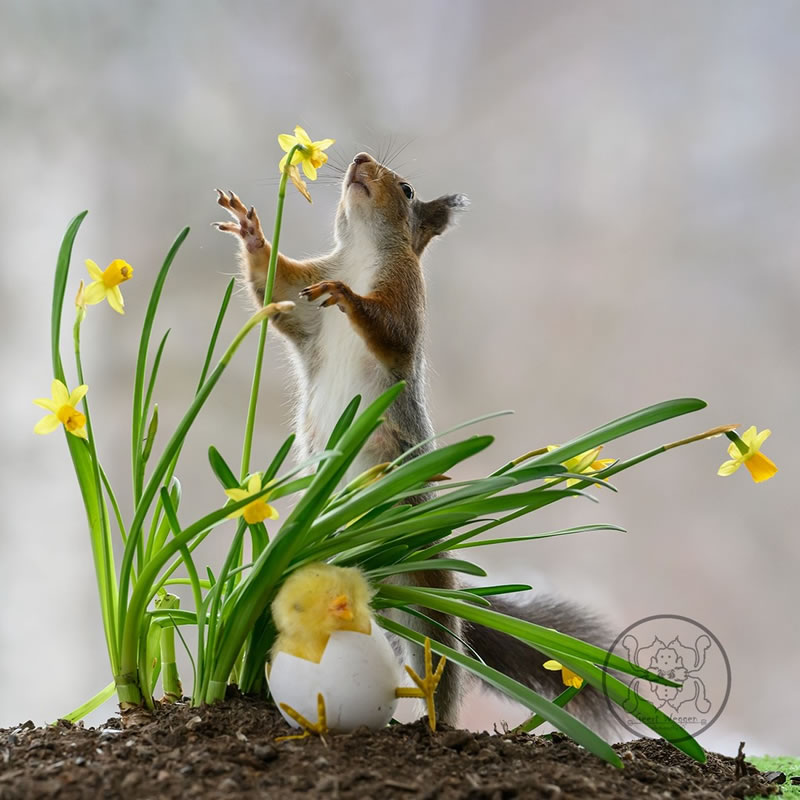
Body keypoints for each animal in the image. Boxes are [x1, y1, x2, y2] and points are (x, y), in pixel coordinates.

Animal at [216, 152, 608, 732]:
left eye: (405, 188)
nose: (360, 159)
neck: (359, 252)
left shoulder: (406, 296)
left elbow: (390, 331)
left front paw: (349, 298)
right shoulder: (302, 297)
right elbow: (274, 284)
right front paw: (250, 230)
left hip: (430, 596)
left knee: (438, 662)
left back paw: (436, 720)